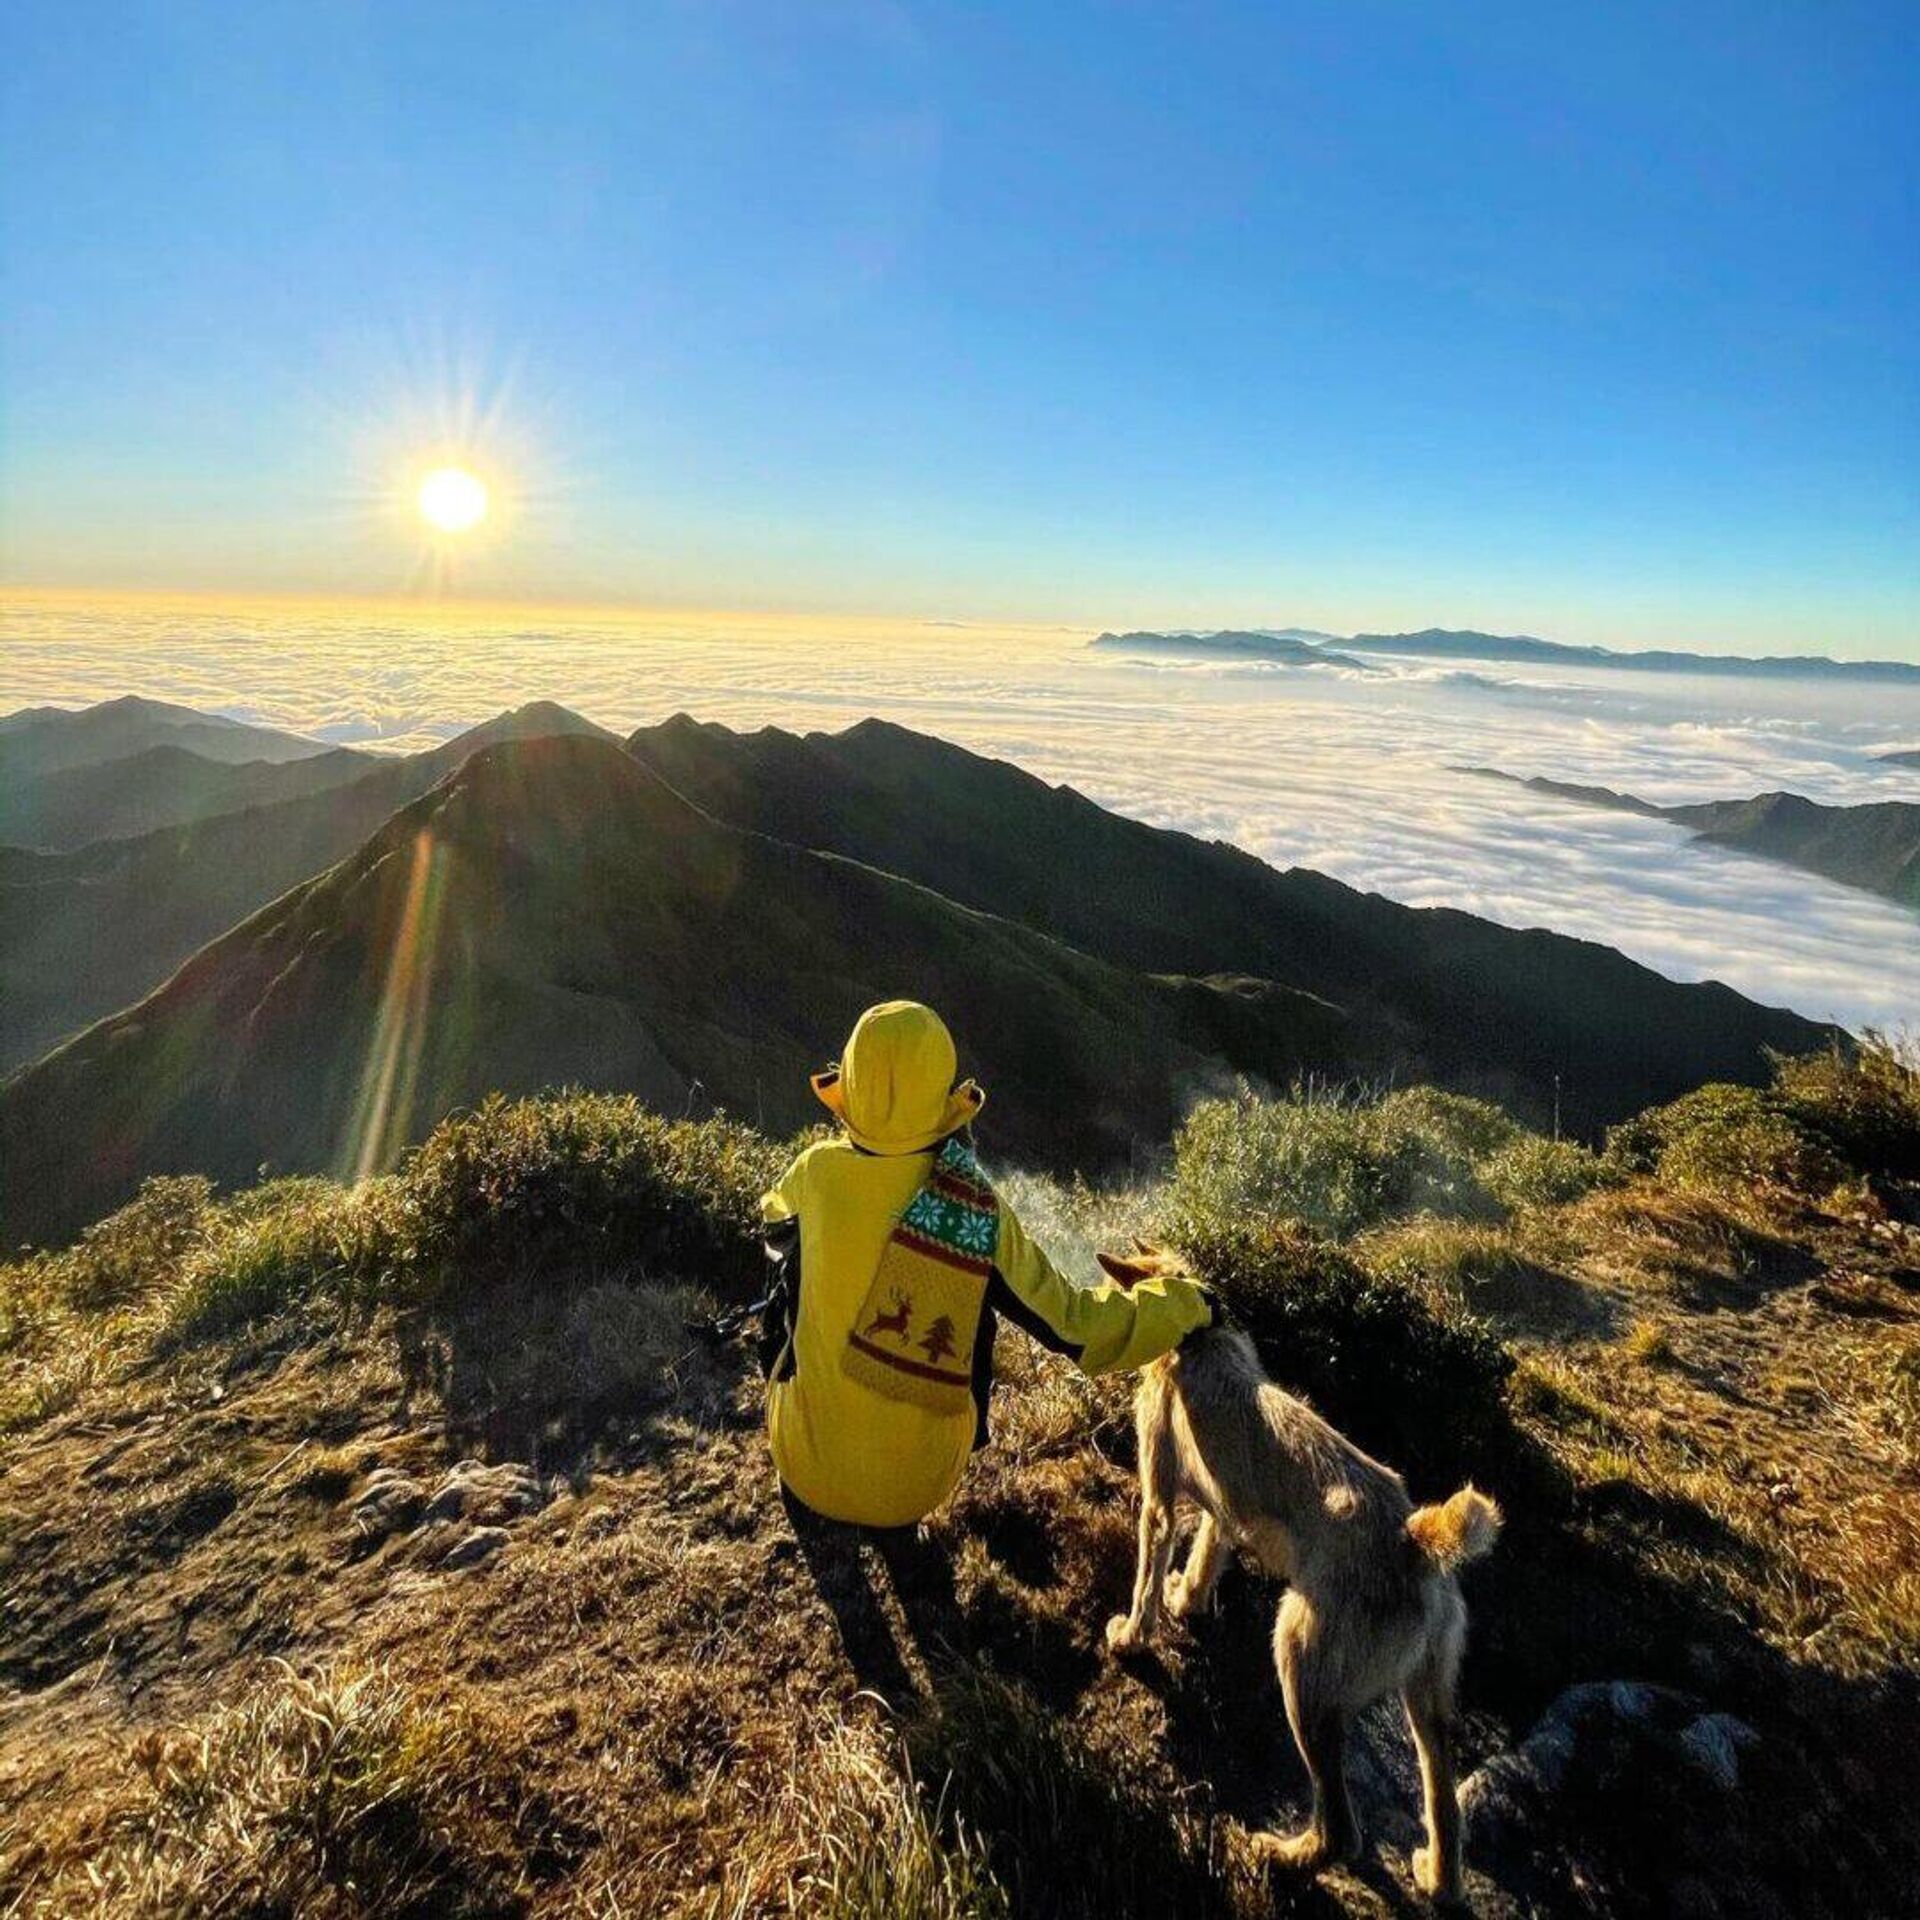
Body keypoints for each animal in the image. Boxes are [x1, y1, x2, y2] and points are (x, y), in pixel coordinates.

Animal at [1098, 1244, 1497, 1904]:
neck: (1200, 1335)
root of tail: (1412, 1544)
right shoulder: (1225, 1513)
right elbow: (1204, 1556)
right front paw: (1187, 1598)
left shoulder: (1158, 1497)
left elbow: (1146, 1577)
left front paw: (1133, 1635)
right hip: (1428, 1701)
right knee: (1447, 1808)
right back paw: (1437, 1879)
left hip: (1300, 1666)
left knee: (1342, 1830)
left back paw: (1284, 1856)